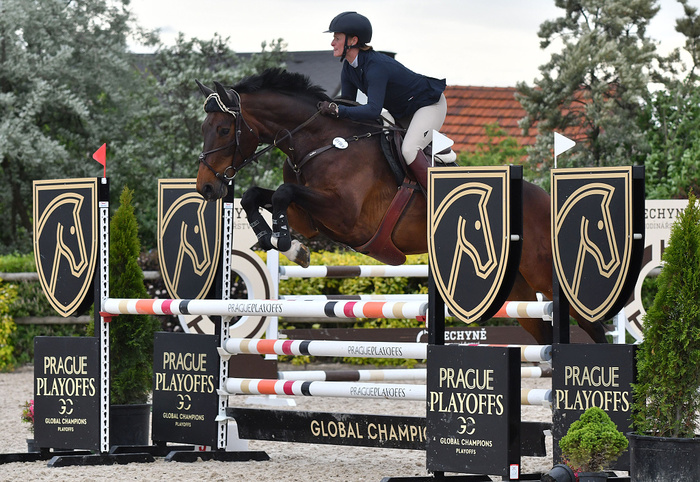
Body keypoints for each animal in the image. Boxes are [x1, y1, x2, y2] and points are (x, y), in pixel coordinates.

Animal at [194, 68, 608, 344]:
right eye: (203, 129)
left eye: (225, 129)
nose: (207, 188)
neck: (320, 140)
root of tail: (548, 199)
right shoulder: (312, 219)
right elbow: (259, 195)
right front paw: (280, 242)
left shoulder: (345, 216)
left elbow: (281, 193)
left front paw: (282, 240)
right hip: (517, 289)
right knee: (544, 333)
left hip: (543, 273)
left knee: (590, 322)